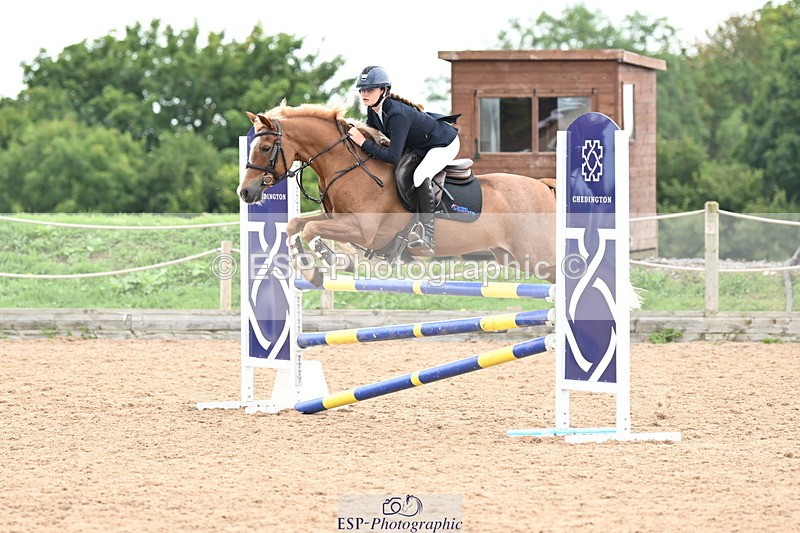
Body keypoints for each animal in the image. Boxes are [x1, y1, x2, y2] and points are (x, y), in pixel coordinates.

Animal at [237, 101, 557, 285]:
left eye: (265, 147)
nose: (245, 192)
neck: (348, 168)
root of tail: (543, 185)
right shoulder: (336, 218)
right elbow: (295, 226)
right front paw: (309, 271)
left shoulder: (364, 231)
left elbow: (311, 230)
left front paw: (335, 261)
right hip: (512, 257)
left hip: (536, 254)